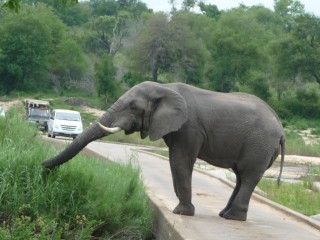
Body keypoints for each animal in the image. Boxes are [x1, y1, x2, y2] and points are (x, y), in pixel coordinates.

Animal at [42, 81, 284, 221]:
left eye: (133, 106)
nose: (43, 168)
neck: (165, 87)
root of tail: (281, 128)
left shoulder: (189, 127)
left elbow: (181, 161)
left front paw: (181, 213)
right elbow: (174, 161)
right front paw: (182, 210)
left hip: (259, 144)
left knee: (248, 175)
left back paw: (233, 217)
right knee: (241, 176)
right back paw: (224, 215)